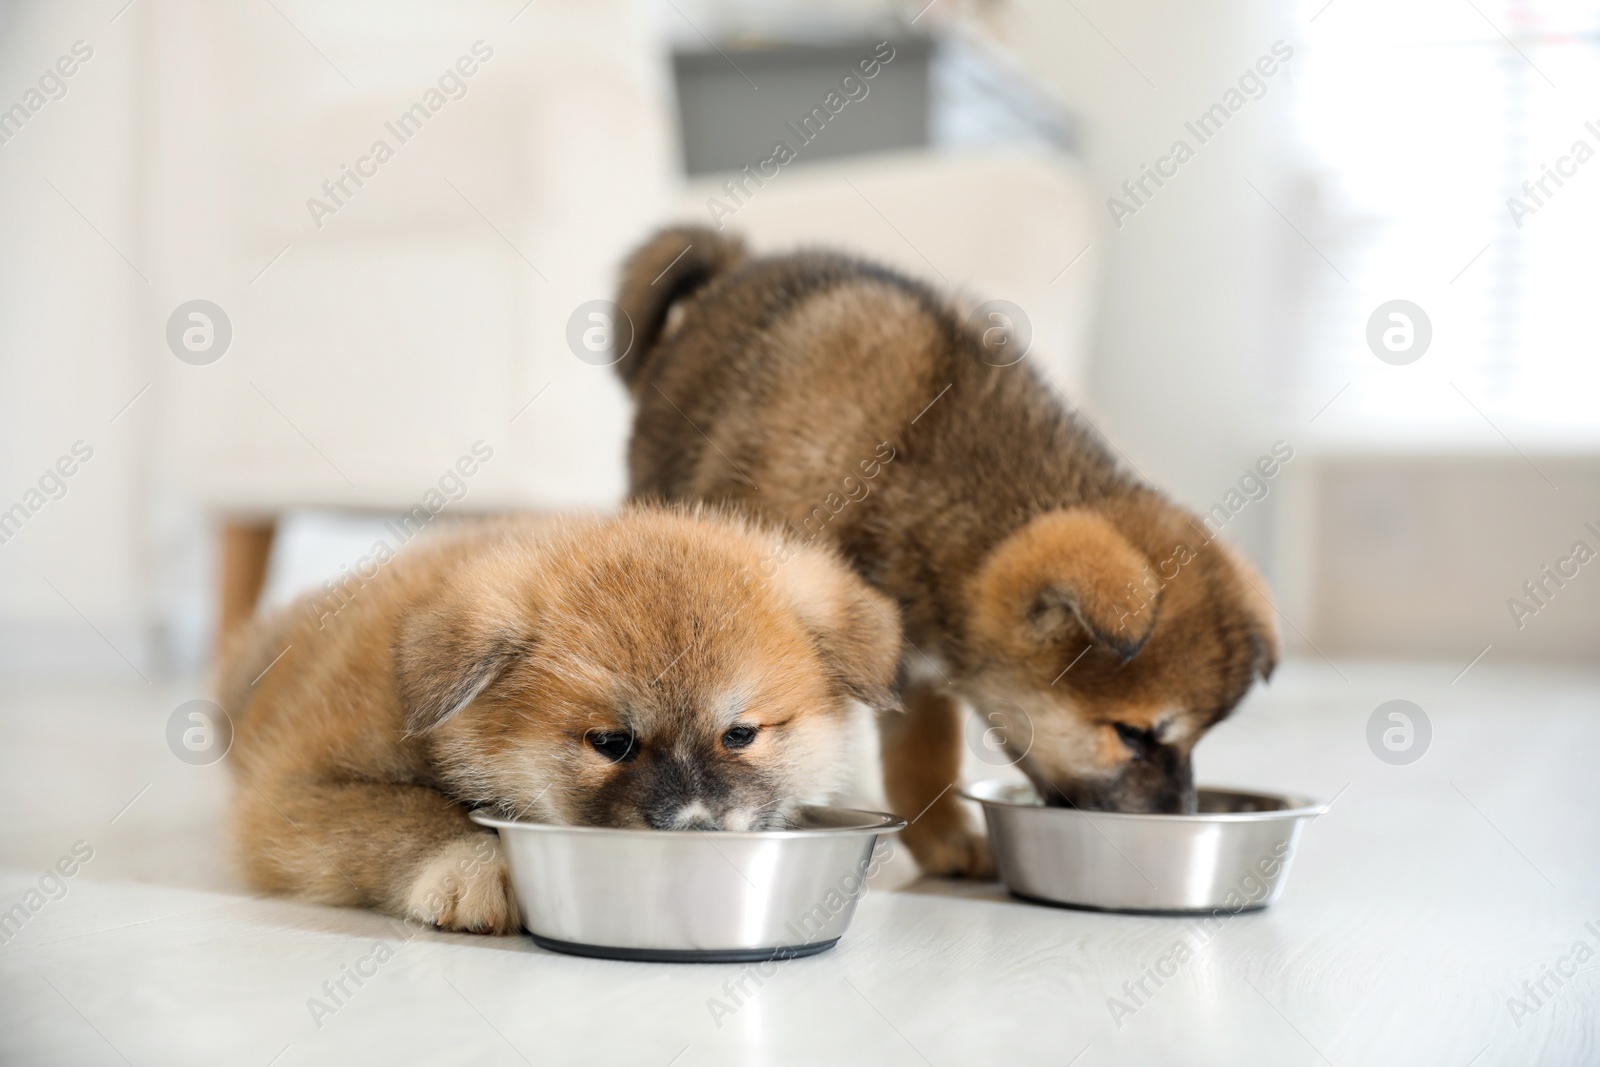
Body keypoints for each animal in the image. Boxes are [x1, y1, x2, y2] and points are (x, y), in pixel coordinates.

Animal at [219, 508, 908, 934]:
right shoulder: (296, 791)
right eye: (612, 743)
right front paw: (475, 864)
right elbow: (412, 814)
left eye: (740, 734)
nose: (697, 831)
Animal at [604, 225, 1280, 876]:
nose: (1179, 819)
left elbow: (922, 764)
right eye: (1132, 735)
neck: (907, 465)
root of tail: (740, 266)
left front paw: (944, 844)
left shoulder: (915, 674)